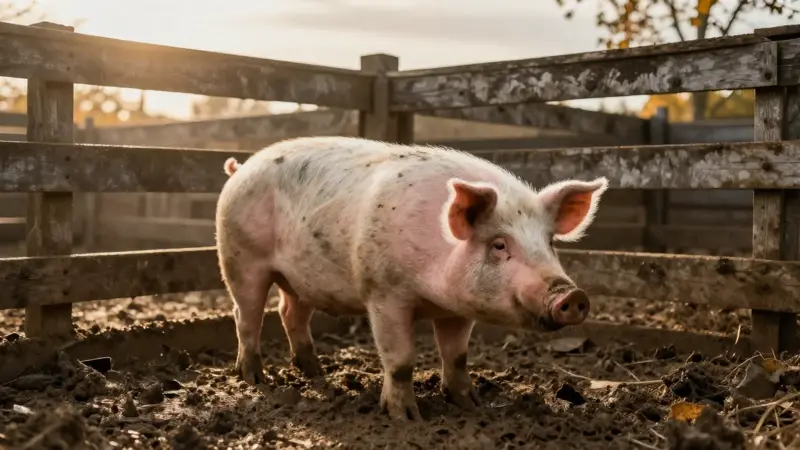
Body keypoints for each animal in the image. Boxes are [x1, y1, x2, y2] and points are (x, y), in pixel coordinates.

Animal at [216, 136, 607, 421]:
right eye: (499, 245)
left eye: (550, 242)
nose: (570, 295)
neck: (434, 292)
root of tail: (240, 168)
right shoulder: (384, 293)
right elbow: (401, 361)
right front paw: (406, 418)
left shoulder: (457, 311)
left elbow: (457, 357)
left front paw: (471, 404)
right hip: (240, 257)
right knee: (245, 315)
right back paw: (254, 378)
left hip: (299, 279)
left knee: (289, 313)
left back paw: (315, 372)